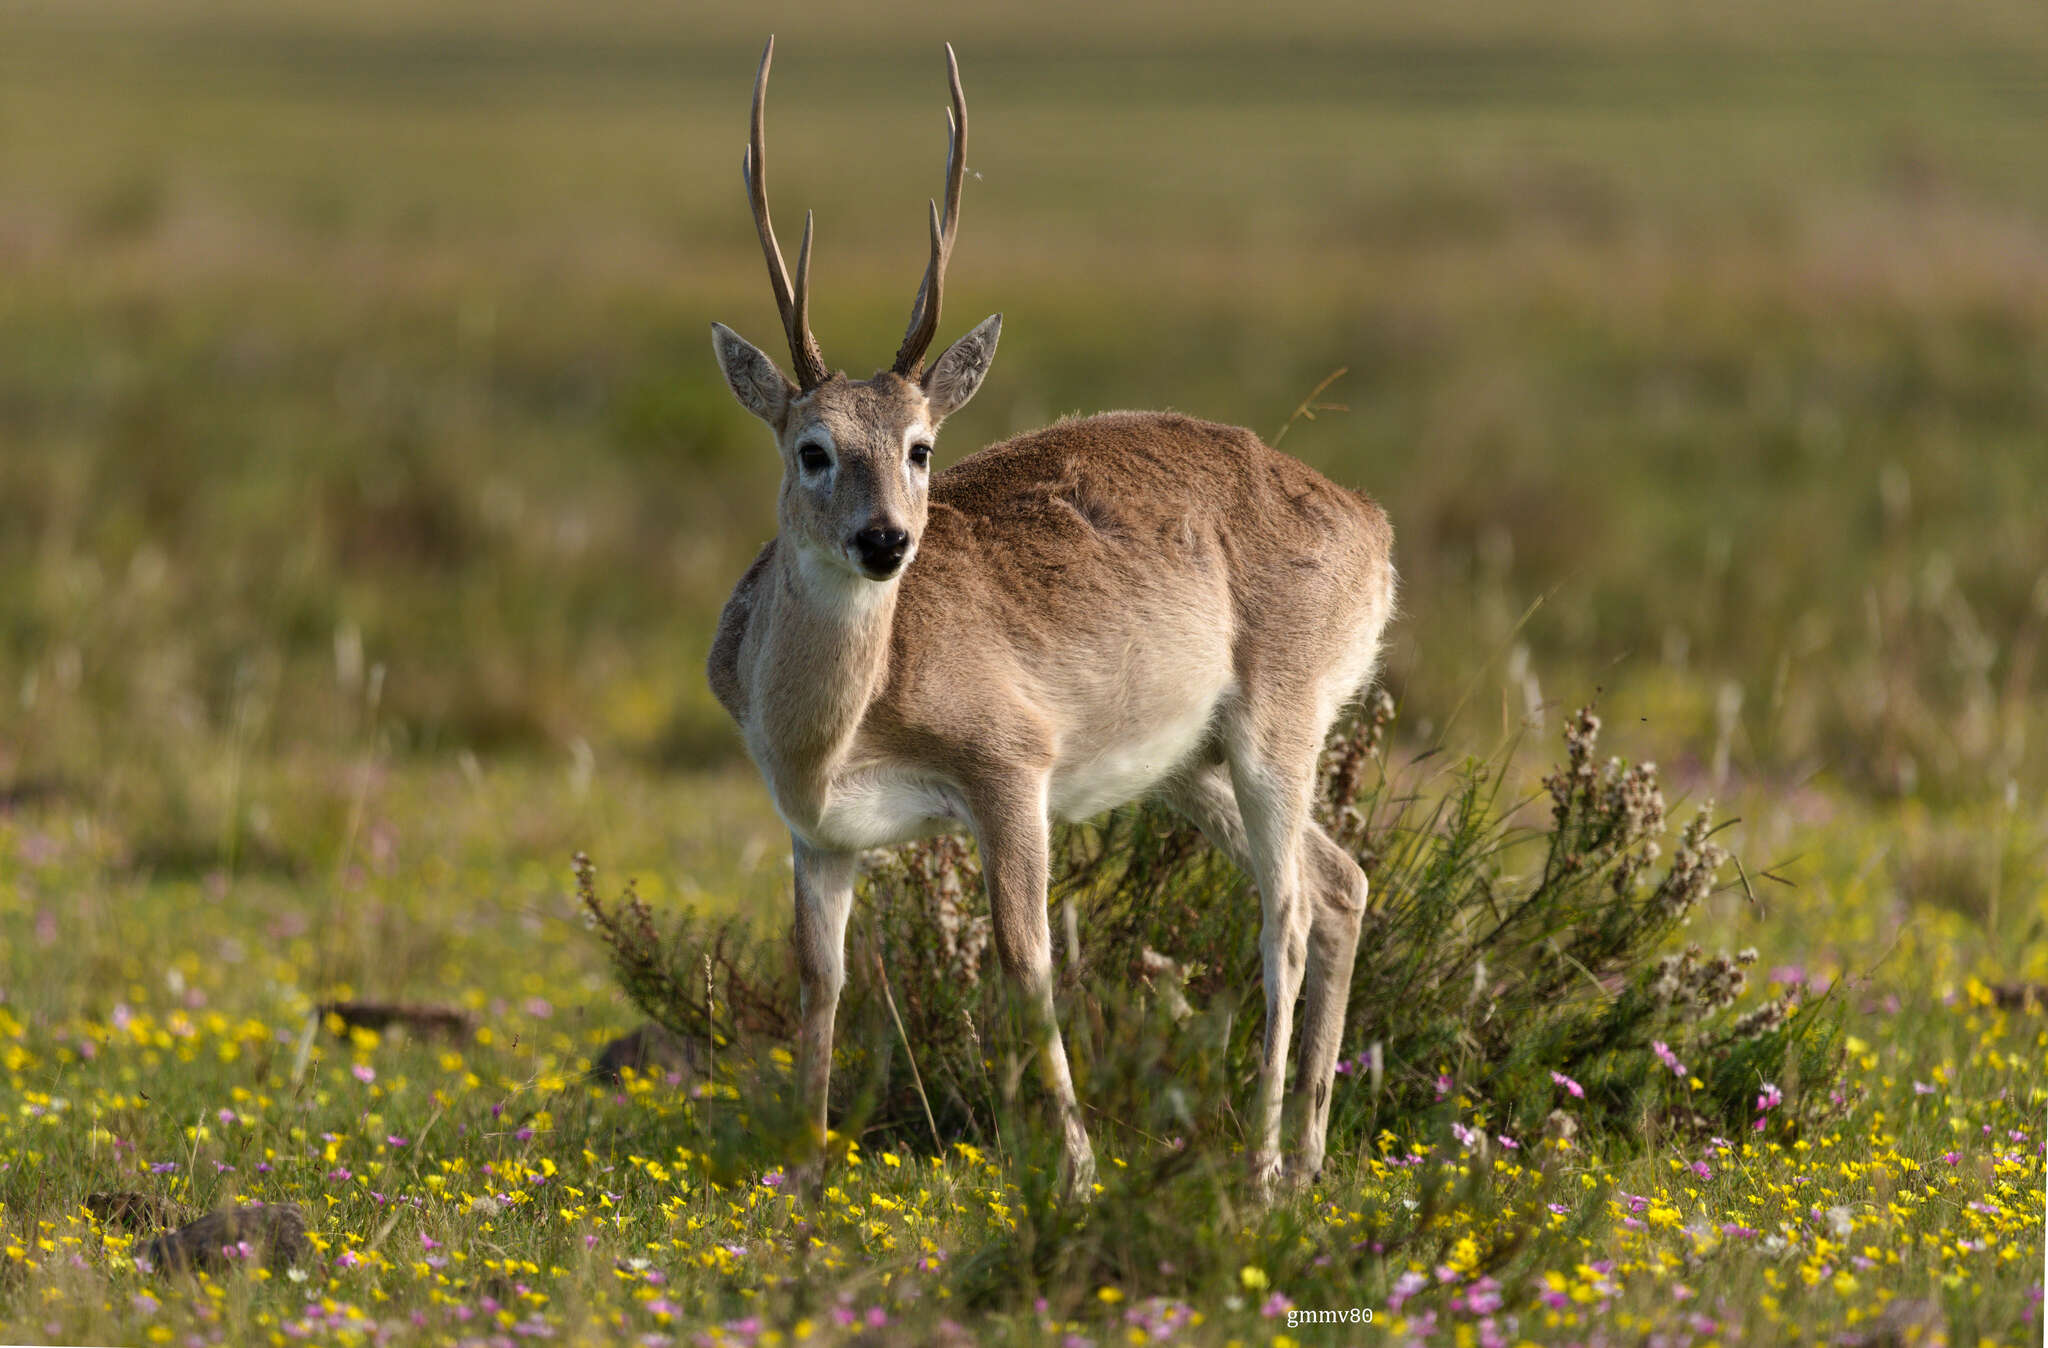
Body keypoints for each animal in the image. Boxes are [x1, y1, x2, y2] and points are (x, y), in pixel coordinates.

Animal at [704, 39, 1392, 1196]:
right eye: (811, 447)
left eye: (921, 445)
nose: (885, 540)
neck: (831, 729)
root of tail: (1371, 523)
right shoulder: (818, 835)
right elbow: (819, 980)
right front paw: (798, 1168)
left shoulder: (1011, 773)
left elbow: (1024, 960)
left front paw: (1073, 1169)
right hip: (1187, 766)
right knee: (1342, 883)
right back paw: (1304, 1159)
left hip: (1277, 728)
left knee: (1289, 911)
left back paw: (1256, 1167)